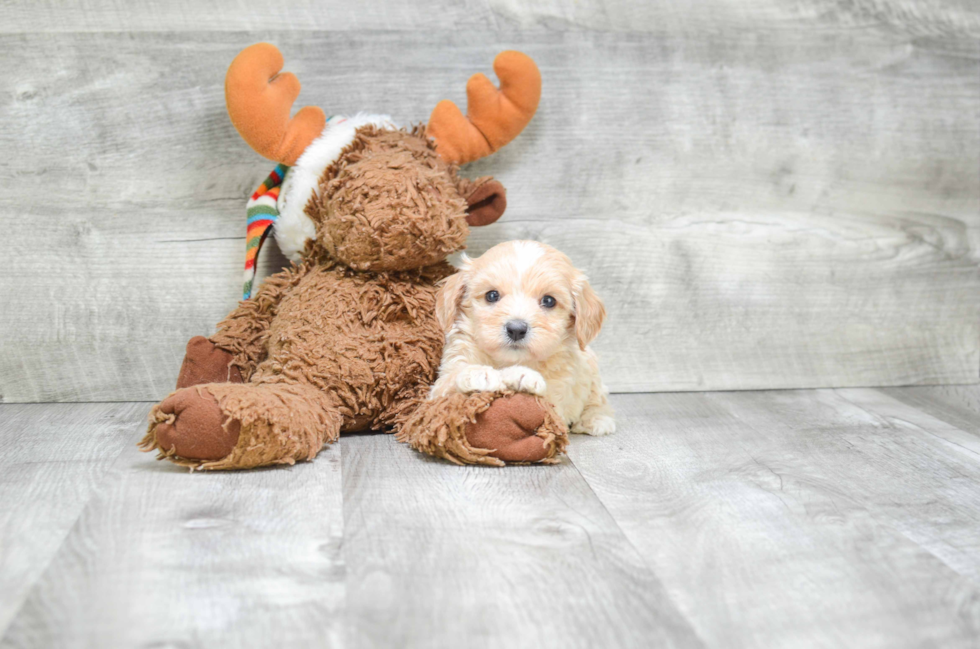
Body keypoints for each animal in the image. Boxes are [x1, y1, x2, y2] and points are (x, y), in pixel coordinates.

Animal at [428, 242, 612, 436]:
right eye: (492, 295)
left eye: (549, 300)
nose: (516, 329)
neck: (507, 360)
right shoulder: (440, 385)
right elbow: (450, 381)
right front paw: (479, 374)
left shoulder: (557, 399)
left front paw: (522, 375)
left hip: (591, 367)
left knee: (598, 397)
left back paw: (596, 419)